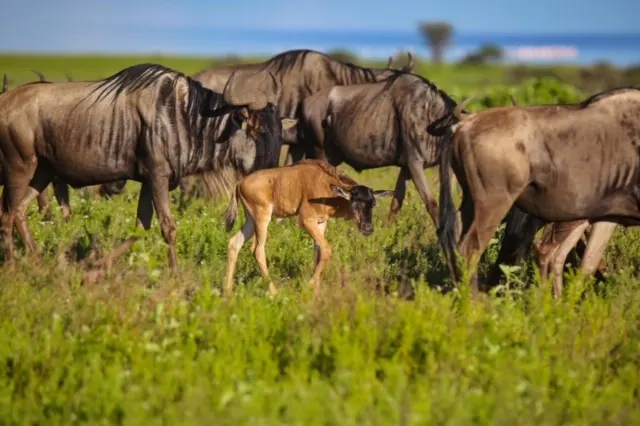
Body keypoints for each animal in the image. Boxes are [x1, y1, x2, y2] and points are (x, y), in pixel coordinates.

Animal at [0, 63, 297, 269]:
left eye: (280, 136)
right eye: (256, 130)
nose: (274, 183)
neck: (186, 116)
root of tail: (5, 103)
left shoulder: (148, 180)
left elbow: (140, 227)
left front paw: (96, 265)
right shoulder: (158, 176)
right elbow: (168, 226)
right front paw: (175, 274)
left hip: (42, 172)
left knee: (20, 212)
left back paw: (37, 258)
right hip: (19, 168)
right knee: (8, 214)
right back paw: (13, 266)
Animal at [223, 159, 393, 296]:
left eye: (373, 203)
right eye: (355, 202)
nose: (368, 228)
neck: (327, 186)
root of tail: (240, 183)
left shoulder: (321, 222)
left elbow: (318, 252)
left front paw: (316, 292)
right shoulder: (306, 221)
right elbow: (327, 250)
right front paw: (309, 285)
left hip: (250, 221)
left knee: (234, 243)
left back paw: (227, 292)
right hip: (262, 218)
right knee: (257, 250)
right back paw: (274, 292)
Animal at [296, 71, 458, 226]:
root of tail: (304, 103)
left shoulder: (406, 167)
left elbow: (396, 202)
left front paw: (387, 230)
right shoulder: (415, 164)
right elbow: (431, 203)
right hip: (320, 155)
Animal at [436, 87, 640, 298]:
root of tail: (463, 125)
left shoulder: (607, 217)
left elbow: (587, 265)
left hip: (470, 203)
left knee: (454, 240)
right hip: (493, 206)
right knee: (471, 249)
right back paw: (474, 301)